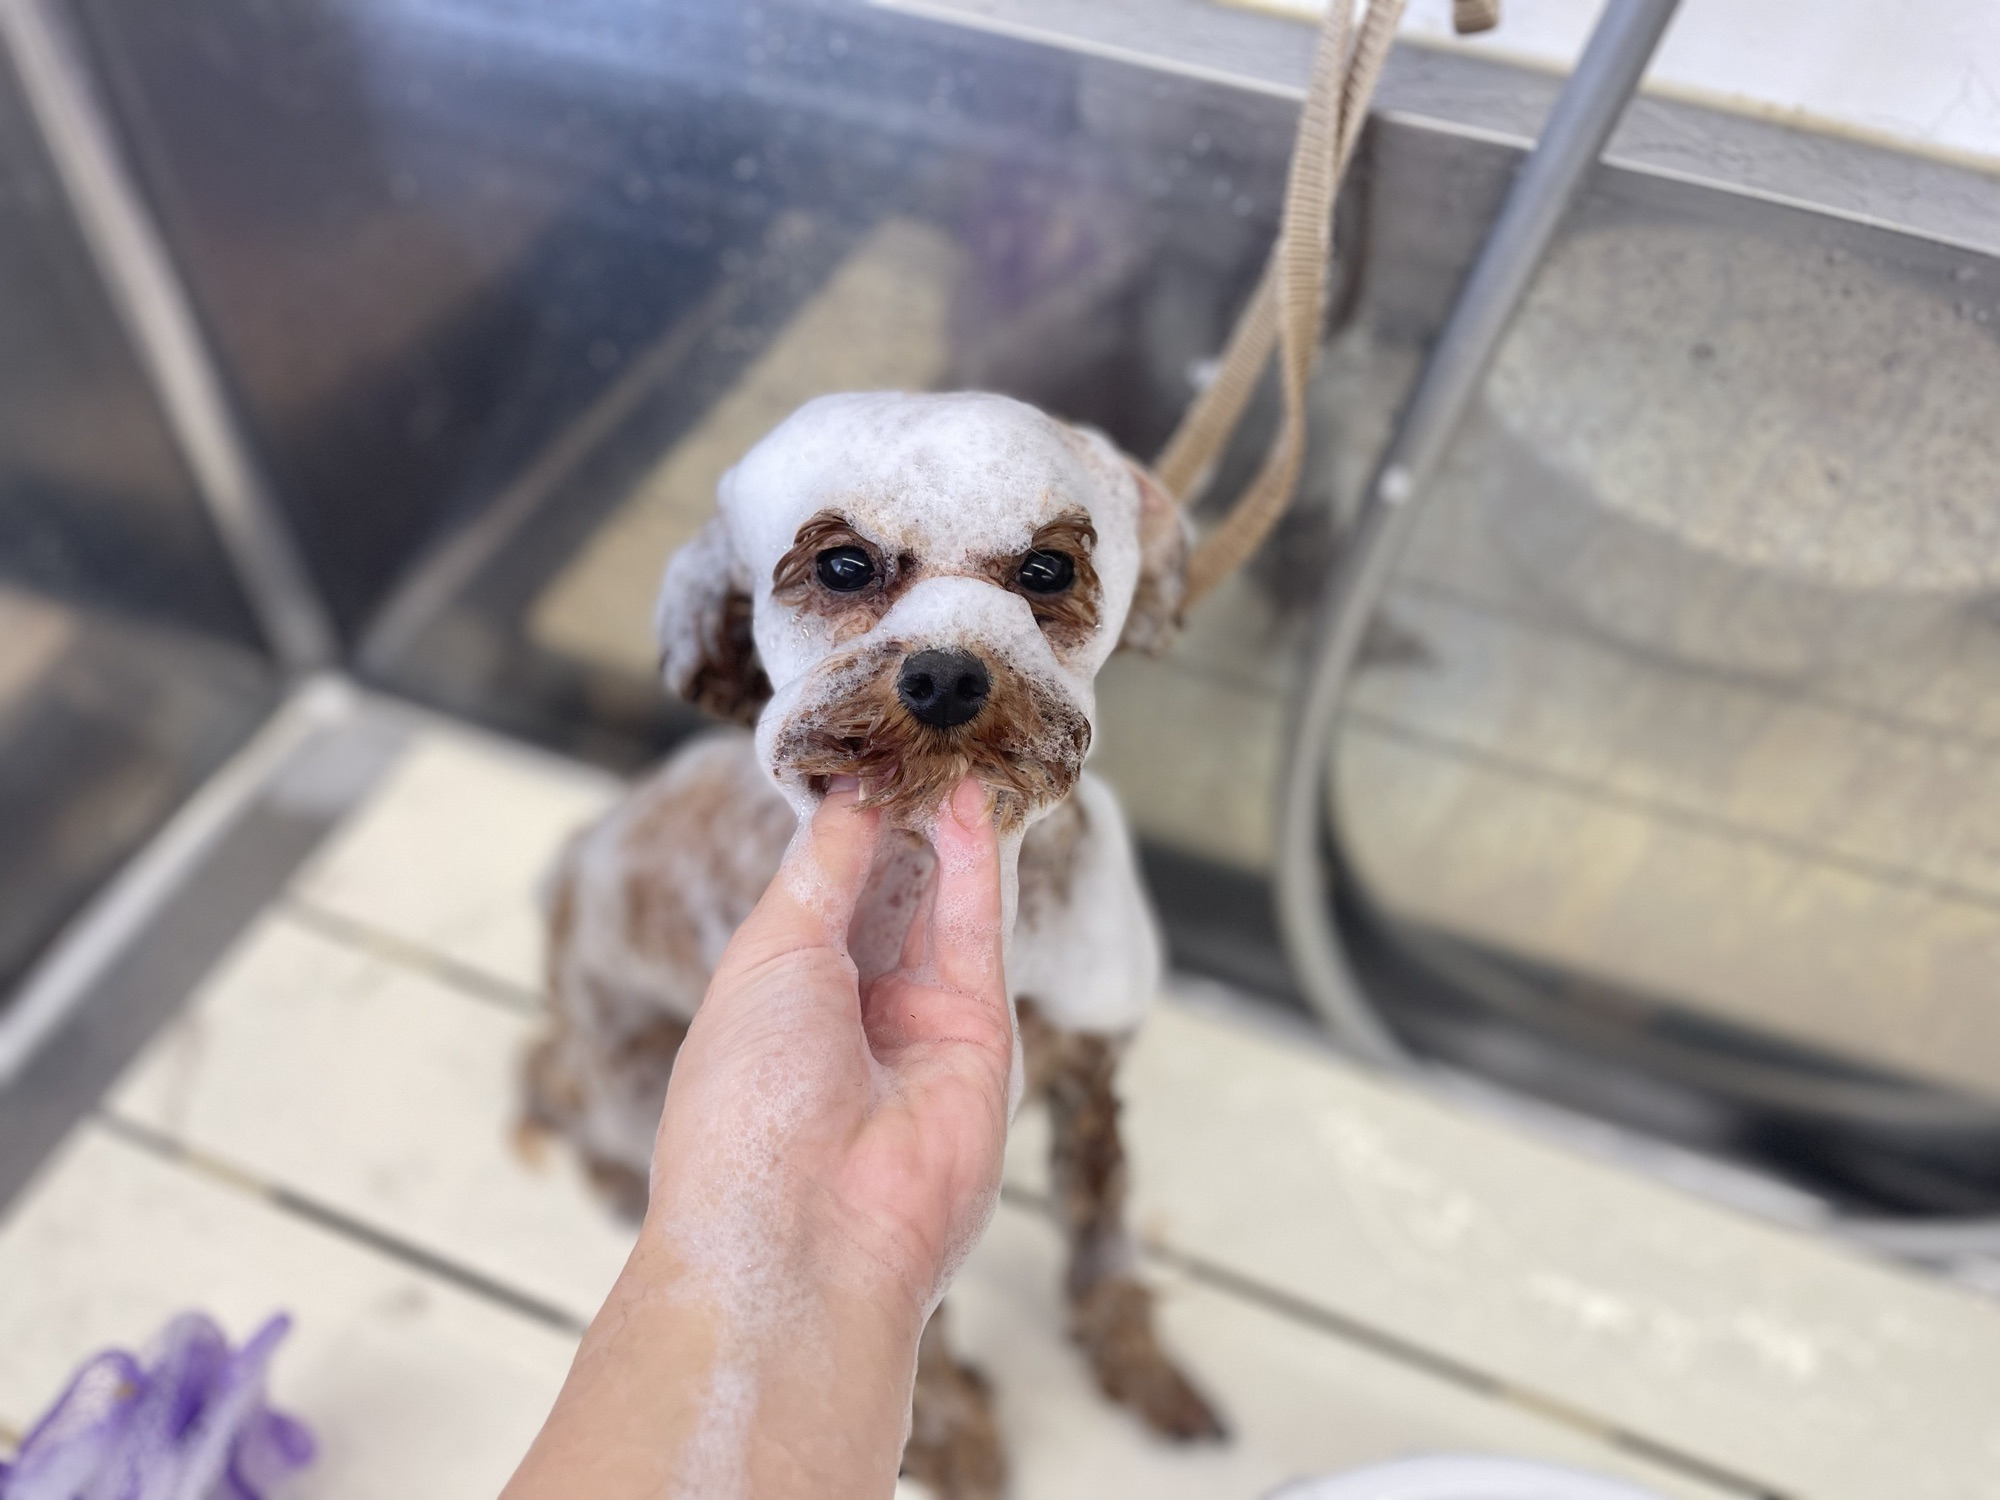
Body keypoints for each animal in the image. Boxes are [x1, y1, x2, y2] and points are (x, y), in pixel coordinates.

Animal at [523, 390, 1225, 1496]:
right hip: (633, 1066)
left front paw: (1141, 1366)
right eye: (844, 565)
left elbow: (1103, 1241)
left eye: (1047, 569)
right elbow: (917, 1339)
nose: (943, 674)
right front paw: (957, 1441)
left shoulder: (1090, 1076)